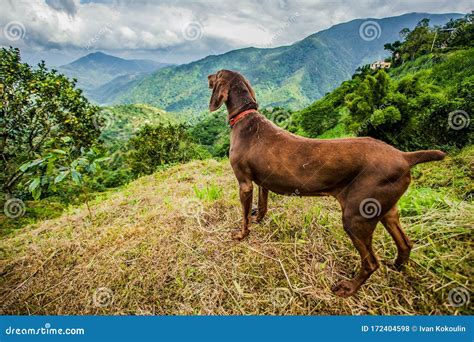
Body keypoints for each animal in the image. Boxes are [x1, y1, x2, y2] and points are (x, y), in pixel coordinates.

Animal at [206, 69, 444, 296]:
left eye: (216, 74)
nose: (207, 76)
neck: (245, 117)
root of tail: (404, 156)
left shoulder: (245, 183)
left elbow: (244, 216)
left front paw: (241, 234)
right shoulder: (263, 181)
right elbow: (262, 205)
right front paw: (259, 218)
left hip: (356, 216)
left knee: (371, 262)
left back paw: (349, 288)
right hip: (386, 209)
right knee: (405, 244)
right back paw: (397, 267)